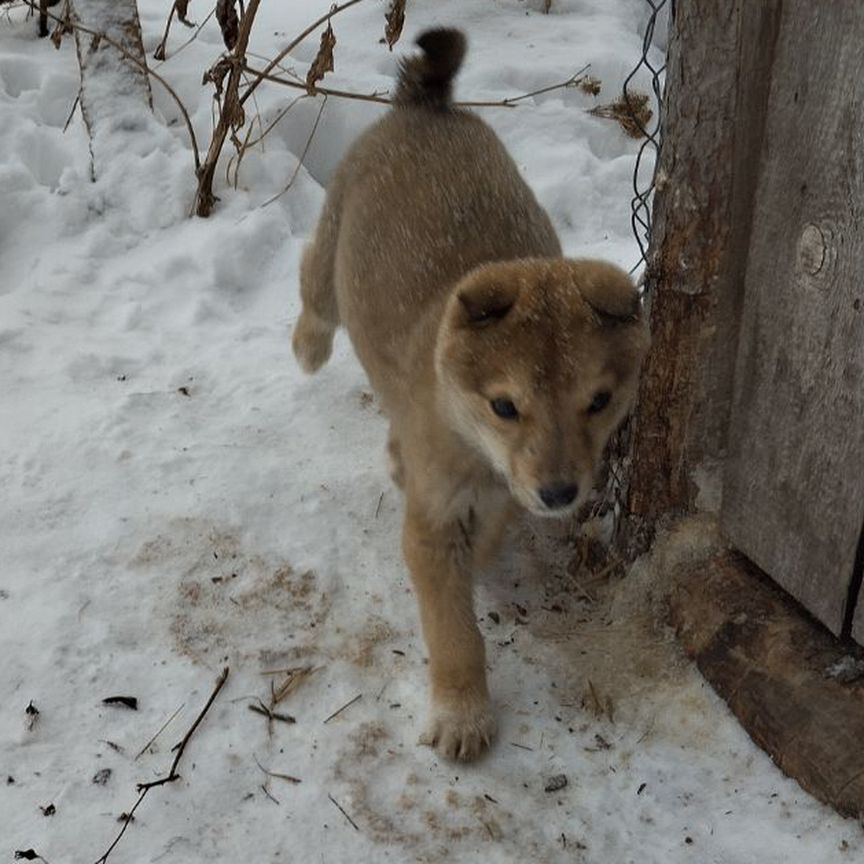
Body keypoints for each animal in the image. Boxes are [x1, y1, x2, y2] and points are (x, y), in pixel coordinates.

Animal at [294, 28, 652, 764]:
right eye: (505, 406)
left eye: (599, 401)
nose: (559, 495)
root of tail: (426, 103)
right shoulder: (432, 523)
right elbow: (453, 629)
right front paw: (462, 713)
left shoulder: (504, 491)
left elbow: (487, 536)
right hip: (334, 250)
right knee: (312, 285)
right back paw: (308, 346)